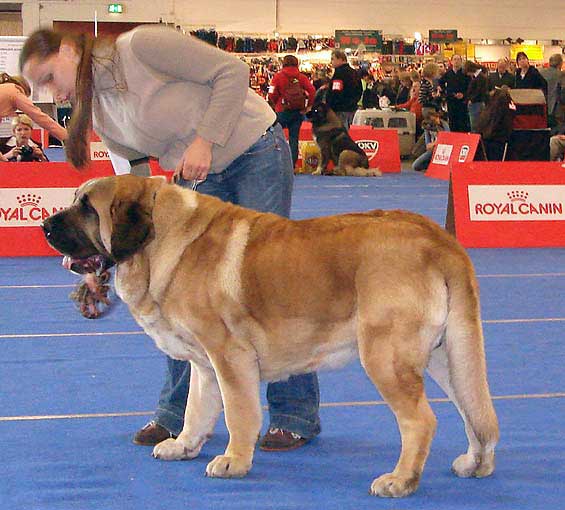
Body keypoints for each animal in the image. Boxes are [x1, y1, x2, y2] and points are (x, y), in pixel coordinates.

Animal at [40, 175, 498, 498]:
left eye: (87, 208)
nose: (44, 224)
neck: (159, 240)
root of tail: (437, 239)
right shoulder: (204, 364)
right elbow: (196, 409)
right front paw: (184, 446)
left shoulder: (229, 357)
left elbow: (238, 413)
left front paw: (234, 461)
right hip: (448, 356)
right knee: (475, 415)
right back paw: (474, 464)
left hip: (385, 356)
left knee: (420, 421)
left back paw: (400, 480)